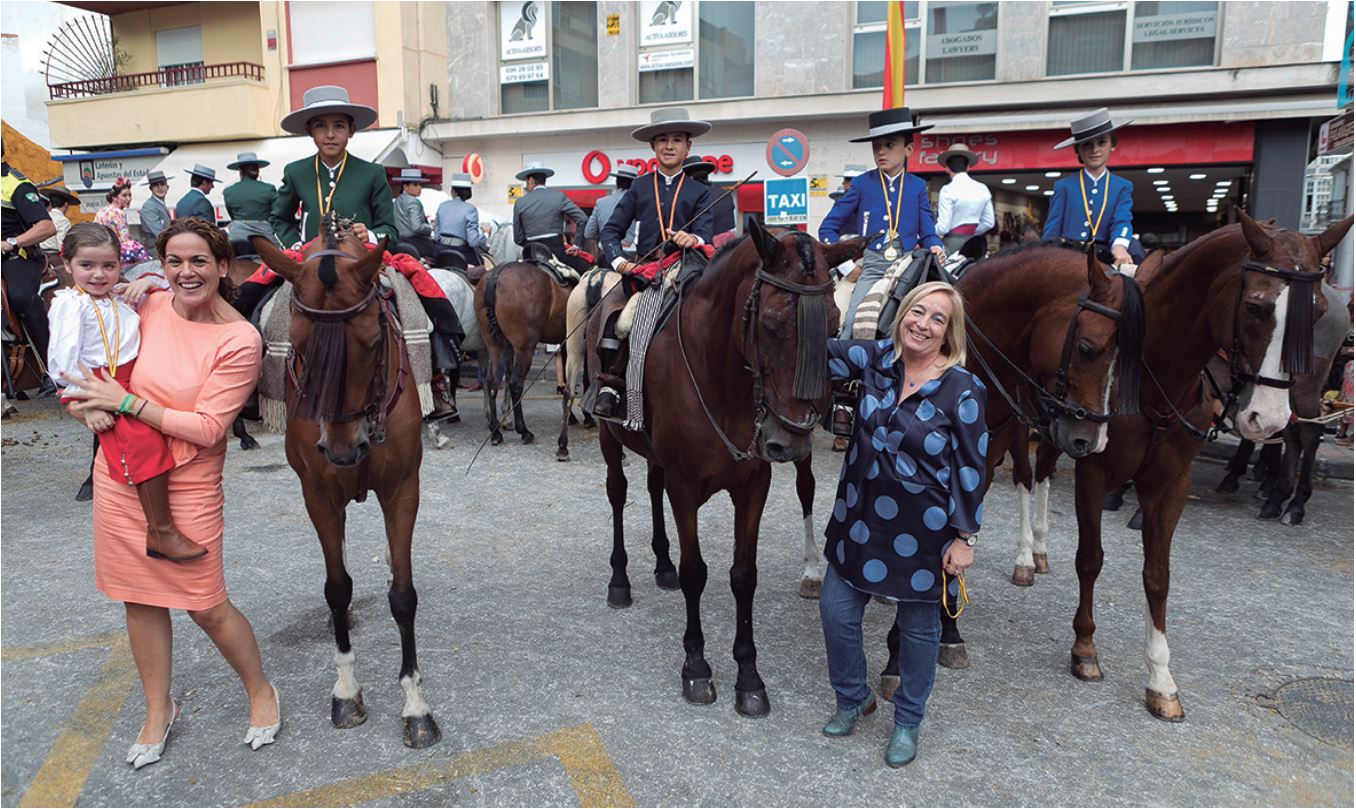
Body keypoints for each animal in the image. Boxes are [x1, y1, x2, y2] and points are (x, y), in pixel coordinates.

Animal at [252, 218, 442, 748]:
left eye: (374, 342)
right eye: (296, 343)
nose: (342, 449)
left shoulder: (402, 489)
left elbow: (403, 595)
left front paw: (415, 704)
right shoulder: (318, 495)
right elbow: (336, 589)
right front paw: (346, 691)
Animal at [474, 261, 574, 458]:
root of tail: (496, 275)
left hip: (494, 344)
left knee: (492, 381)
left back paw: (496, 432)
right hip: (525, 348)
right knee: (515, 383)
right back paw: (524, 431)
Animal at [588, 219, 862, 715]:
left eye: (833, 324)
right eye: (771, 323)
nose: (791, 439)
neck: (724, 383)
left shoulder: (753, 485)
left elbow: (743, 576)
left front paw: (749, 676)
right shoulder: (684, 486)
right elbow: (697, 572)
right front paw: (696, 668)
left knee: (652, 489)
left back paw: (662, 565)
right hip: (609, 438)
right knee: (618, 495)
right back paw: (620, 580)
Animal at [960, 210, 1350, 720]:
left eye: (1317, 310)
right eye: (1256, 307)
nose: (1266, 416)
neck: (1157, 381)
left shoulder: (1171, 482)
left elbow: (1158, 576)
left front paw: (1161, 679)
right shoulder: (1093, 468)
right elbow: (1091, 558)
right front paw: (1085, 649)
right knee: (1027, 475)